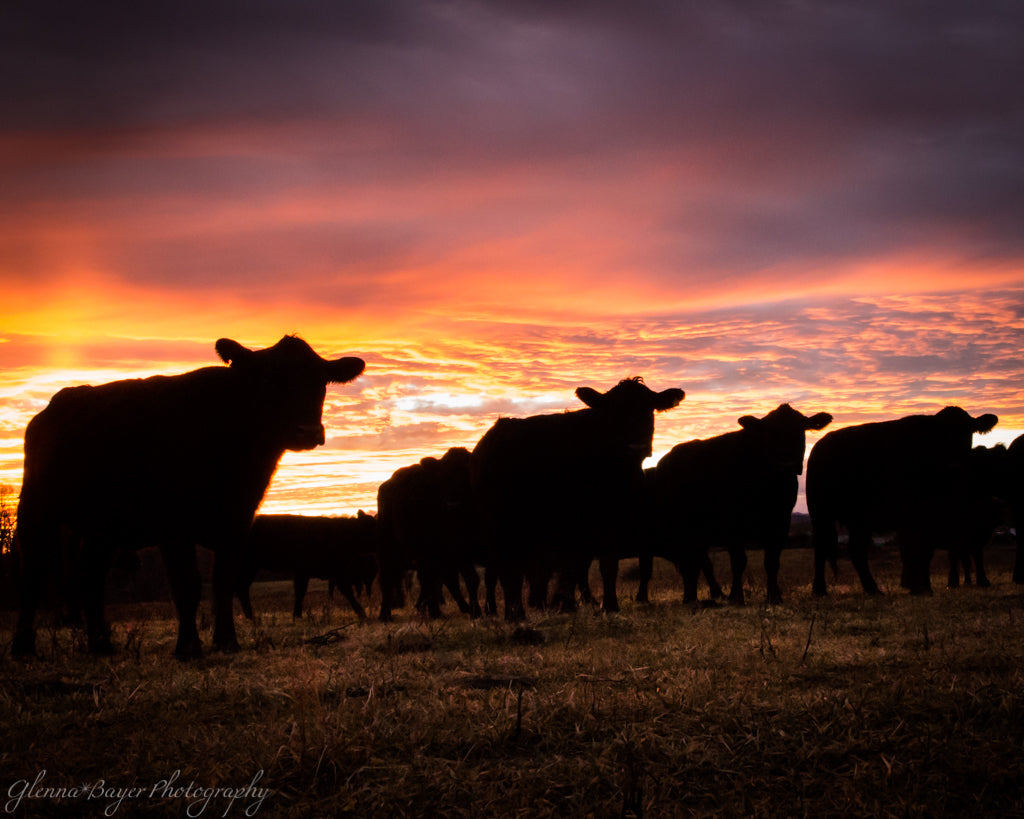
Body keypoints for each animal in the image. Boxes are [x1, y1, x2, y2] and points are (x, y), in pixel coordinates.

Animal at [235, 511, 378, 620]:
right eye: (372, 527)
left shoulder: (334, 571)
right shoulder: (304, 571)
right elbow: (301, 591)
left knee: (242, 588)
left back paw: (251, 618)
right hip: (248, 565)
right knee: (241, 588)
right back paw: (252, 618)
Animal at [376, 447, 481, 622]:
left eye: (467, 473)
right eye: (443, 477)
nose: (453, 504)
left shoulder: (462, 549)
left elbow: (470, 578)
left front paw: (475, 611)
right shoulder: (433, 549)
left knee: (431, 579)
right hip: (389, 546)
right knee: (388, 578)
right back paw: (386, 614)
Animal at [470, 377, 685, 621]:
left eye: (649, 408)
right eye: (615, 411)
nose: (636, 445)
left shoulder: (616, 520)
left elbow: (607, 565)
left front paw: (609, 605)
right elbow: (573, 569)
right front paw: (569, 605)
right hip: (497, 523)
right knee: (506, 569)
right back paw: (514, 614)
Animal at [644, 404, 833, 606]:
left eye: (800, 429)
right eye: (770, 433)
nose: (787, 464)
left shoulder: (781, 521)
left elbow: (772, 562)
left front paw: (774, 596)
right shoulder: (733, 523)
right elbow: (738, 561)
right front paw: (736, 596)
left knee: (694, 563)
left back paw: (692, 597)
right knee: (690, 564)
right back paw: (690, 599)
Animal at [807, 406, 998, 597]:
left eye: (967, 432)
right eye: (939, 434)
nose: (954, 465)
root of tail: (821, 444)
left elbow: (924, 551)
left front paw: (922, 587)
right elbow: (916, 550)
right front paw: (920, 587)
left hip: (858, 520)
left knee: (856, 550)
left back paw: (873, 589)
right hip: (820, 513)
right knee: (822, 547)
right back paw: (820, 590)